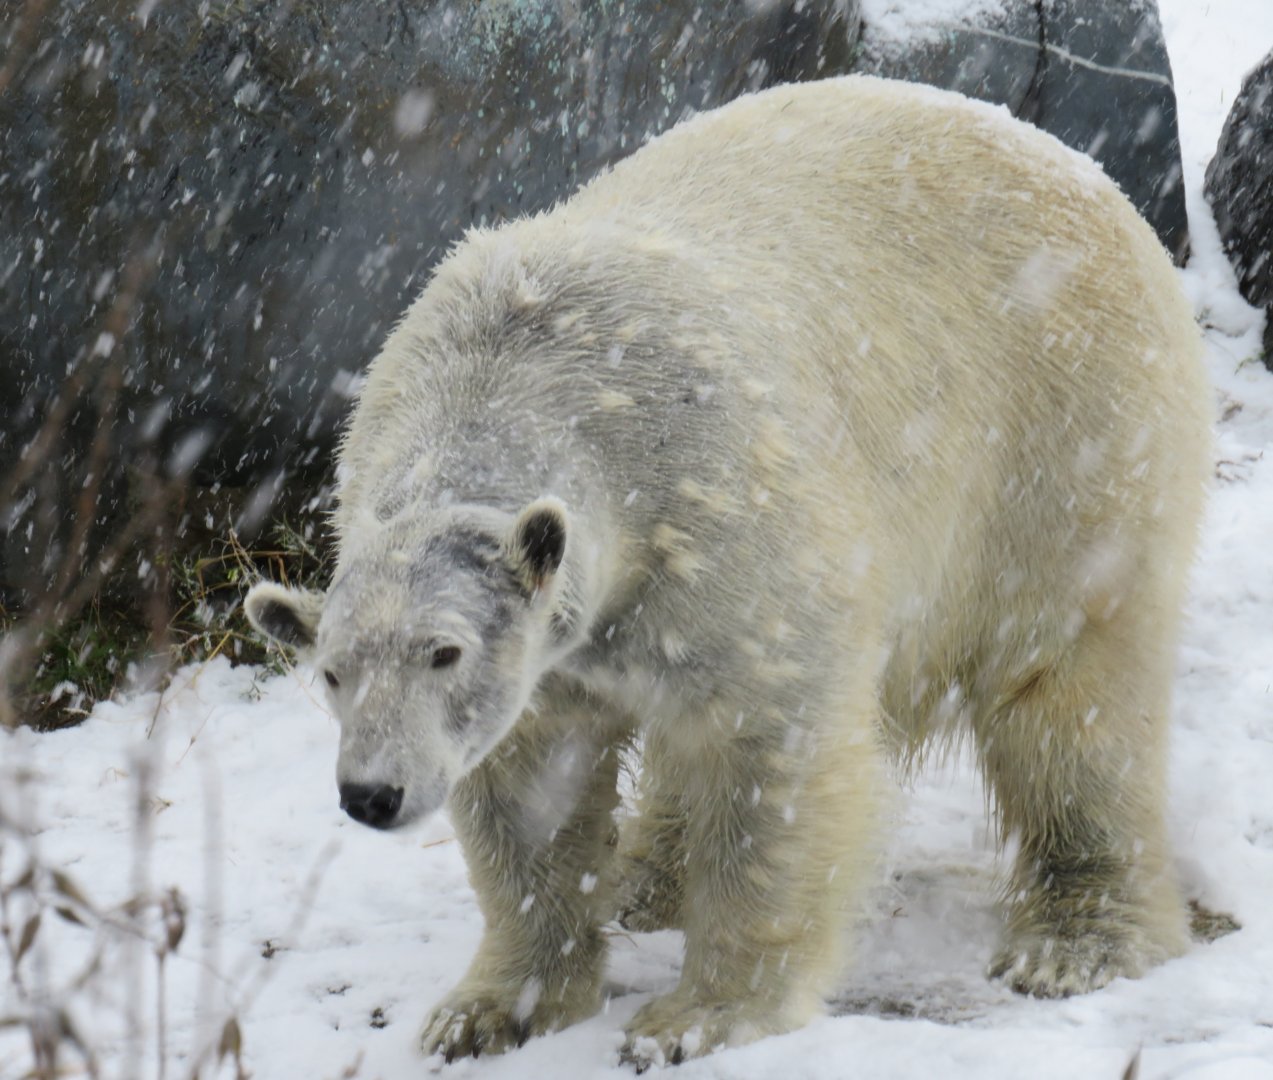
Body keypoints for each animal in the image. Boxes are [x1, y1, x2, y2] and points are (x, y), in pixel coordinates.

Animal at [244, 74, 1212, 1068]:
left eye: (444, 652)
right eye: (331, 673)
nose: (372, 794)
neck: (517, 368)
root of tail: (1070, 163)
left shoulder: (716, 507)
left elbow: (766, 755)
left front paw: (694, 1019)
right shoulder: (576, 631)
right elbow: (531, 787)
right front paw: (487, 1011)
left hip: (1060, 437)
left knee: (1068, 687)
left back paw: (1076, 936)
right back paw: (647, 878)